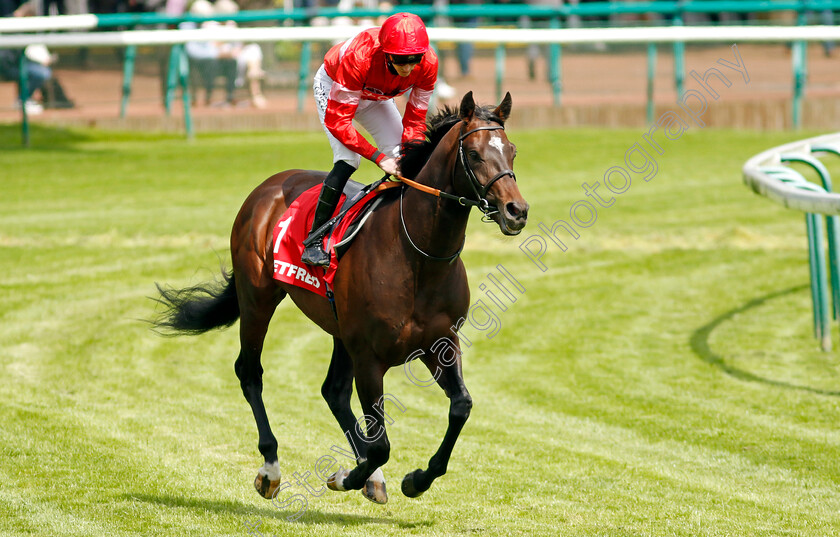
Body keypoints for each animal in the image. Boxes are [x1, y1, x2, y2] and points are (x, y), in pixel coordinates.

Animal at [151, 92, 528, 506]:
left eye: (512, 151)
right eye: (474, 154)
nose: (517, 210)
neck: (419, 257)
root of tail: (267, 187)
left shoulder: (440, 343)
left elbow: (460, 406)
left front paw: (415, 479)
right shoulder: (369, 357)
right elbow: (381, 444)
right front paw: (347, 476)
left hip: (338, 331)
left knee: (332, 391)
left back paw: (370, 477)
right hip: (257, 300)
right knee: (250, 372)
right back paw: (271, 469)